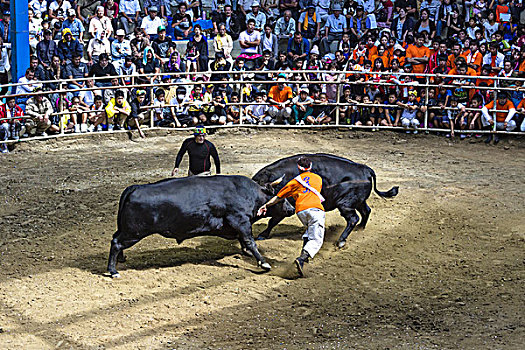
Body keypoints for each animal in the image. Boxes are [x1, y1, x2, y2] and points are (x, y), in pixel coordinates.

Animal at [106, 176, 294, 278]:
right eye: (281, 196)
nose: (292, 209)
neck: (249, 194)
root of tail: (136, 187)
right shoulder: (240, 221)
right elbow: (250, 241)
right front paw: (263, 263)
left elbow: (244, 241)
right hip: (134, 232)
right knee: (116, 243)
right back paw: (113, 270)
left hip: (127, 230)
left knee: (116, 239)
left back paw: (120, 259)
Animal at [252, 152, 400, 246]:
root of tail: (366, 169)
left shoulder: (284, 209)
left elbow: (272, 221)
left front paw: (263, 234)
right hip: (357, 201)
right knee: (366, 211)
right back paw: (360, 228)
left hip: (345, 204)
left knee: (353, 218)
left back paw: (341, 240)